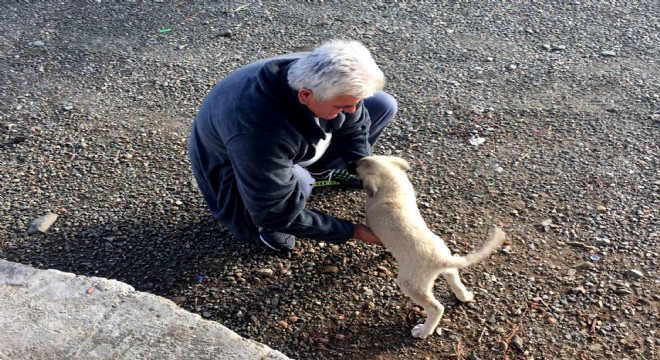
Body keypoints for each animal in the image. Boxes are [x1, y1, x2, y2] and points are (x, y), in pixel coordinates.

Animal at [356, 156, 506, 338]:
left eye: (360, 166)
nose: (354, 162)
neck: (393, 187)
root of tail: (441, 259)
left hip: (411, 284)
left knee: (436, 308)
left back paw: (423, 331)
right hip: (445, 268)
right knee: (455, 280)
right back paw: (464, 296)